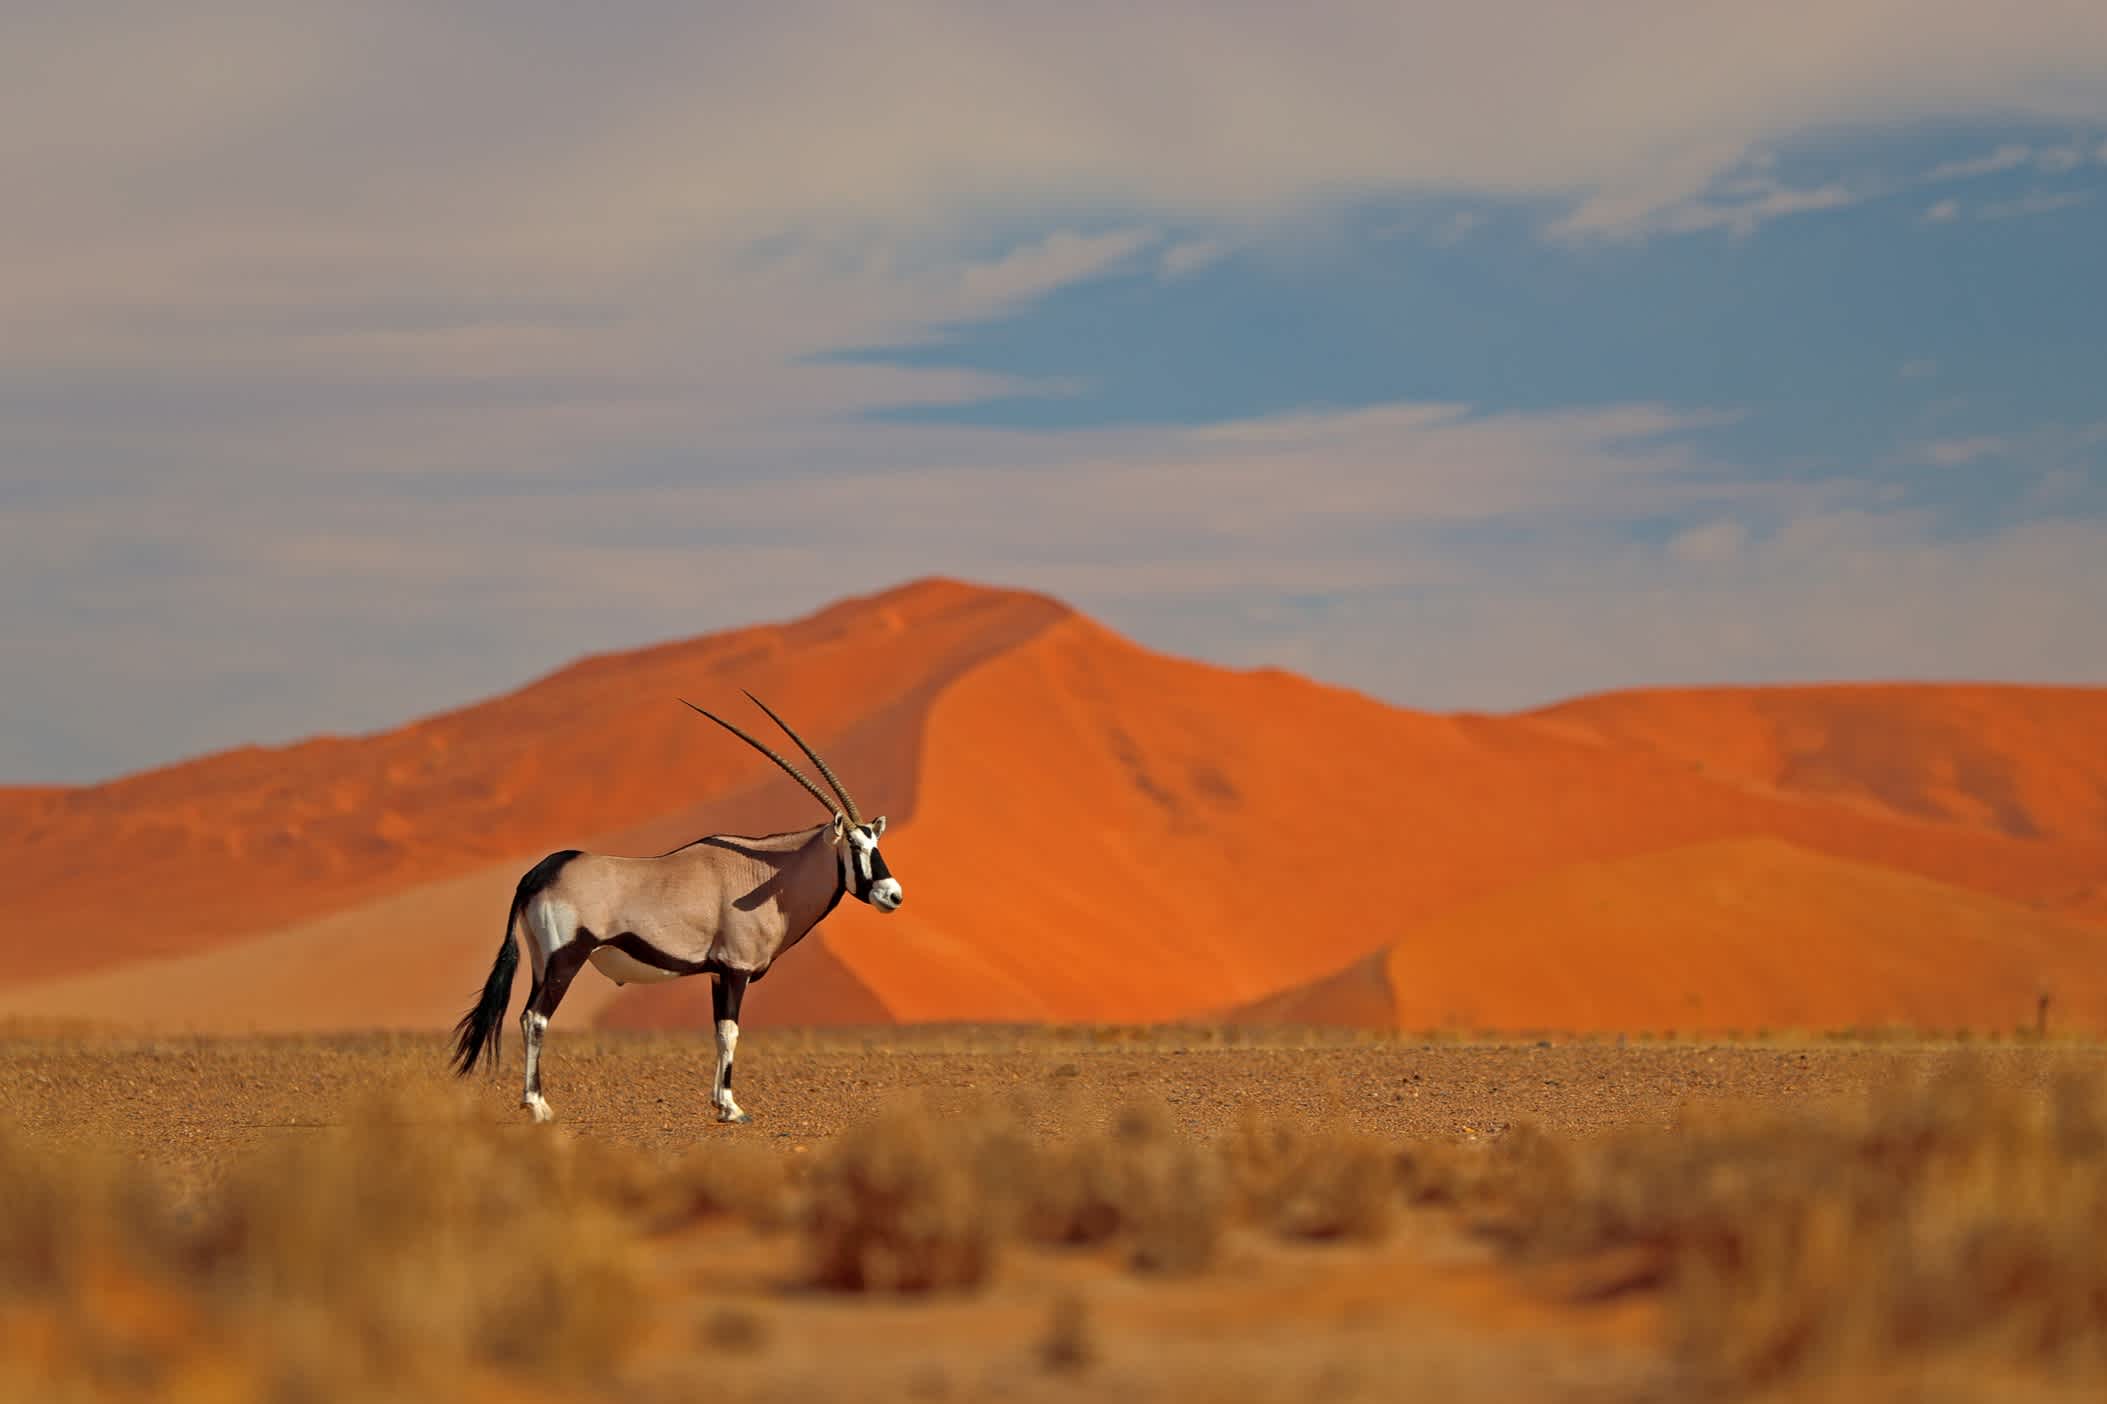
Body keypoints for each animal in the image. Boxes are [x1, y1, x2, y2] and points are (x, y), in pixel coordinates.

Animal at [448, 695, 901, 1121]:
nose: (893, 895)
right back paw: (538, 1106)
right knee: (537, 1019)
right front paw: (732, 1108)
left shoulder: (718, 973)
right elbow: (731, 1032)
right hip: (565, 960)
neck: (769, 875)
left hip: (542, 963)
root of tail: (538, 873)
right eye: (854, 845)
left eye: (876, 842)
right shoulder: (736, 970)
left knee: (526, 1016)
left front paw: (719, 1103)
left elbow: (719, 1031)